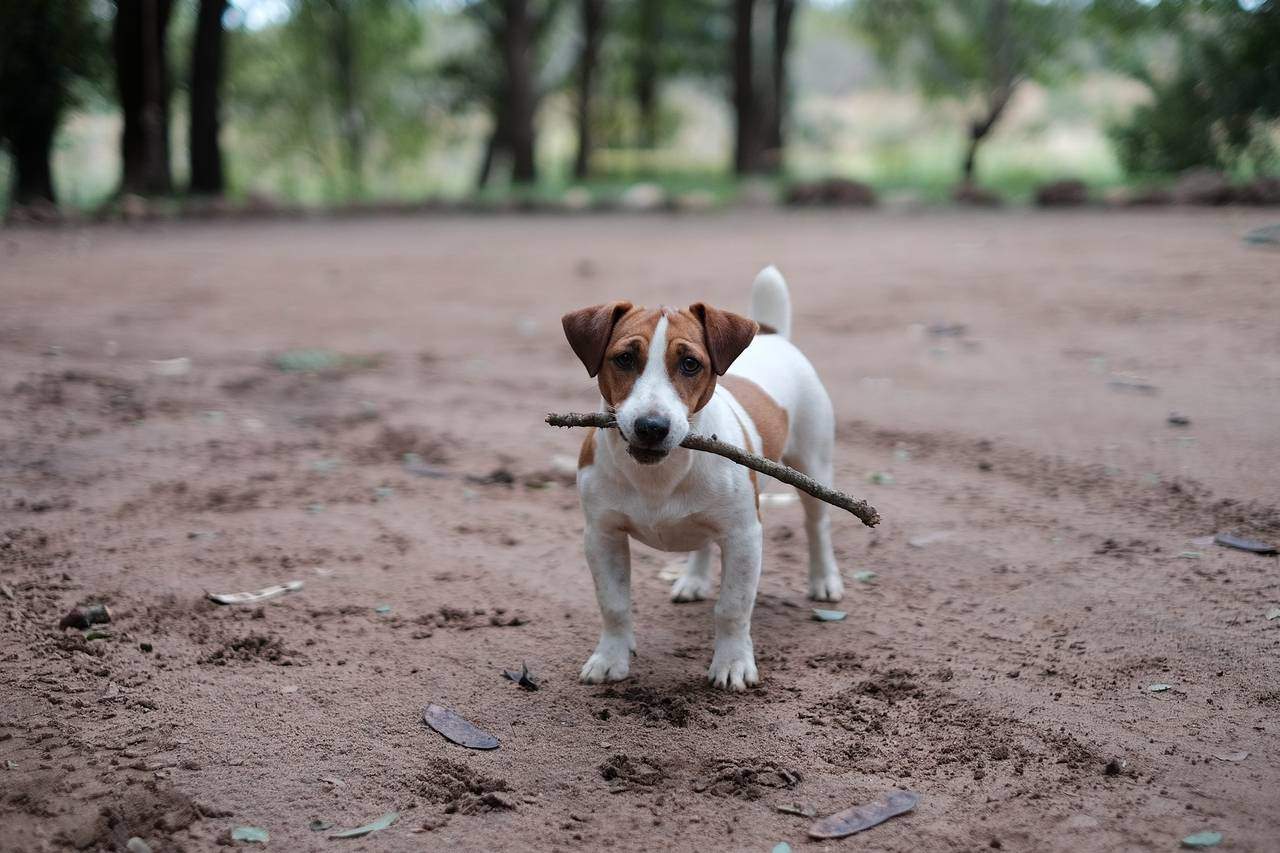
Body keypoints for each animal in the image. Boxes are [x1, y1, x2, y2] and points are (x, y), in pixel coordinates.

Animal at [560, 266, 839, 691]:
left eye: (690, 364)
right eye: (624, 358)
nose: (651, 427)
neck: (659, 475)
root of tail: (771, 334)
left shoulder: (743, 536)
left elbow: (732, 608)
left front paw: (733, 663)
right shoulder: (602, 535)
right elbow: (614, 604)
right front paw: (610, 659)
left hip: (812, 467)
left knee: (817, 525)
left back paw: (824, 580)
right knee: (703, 540)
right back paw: (693, 580)